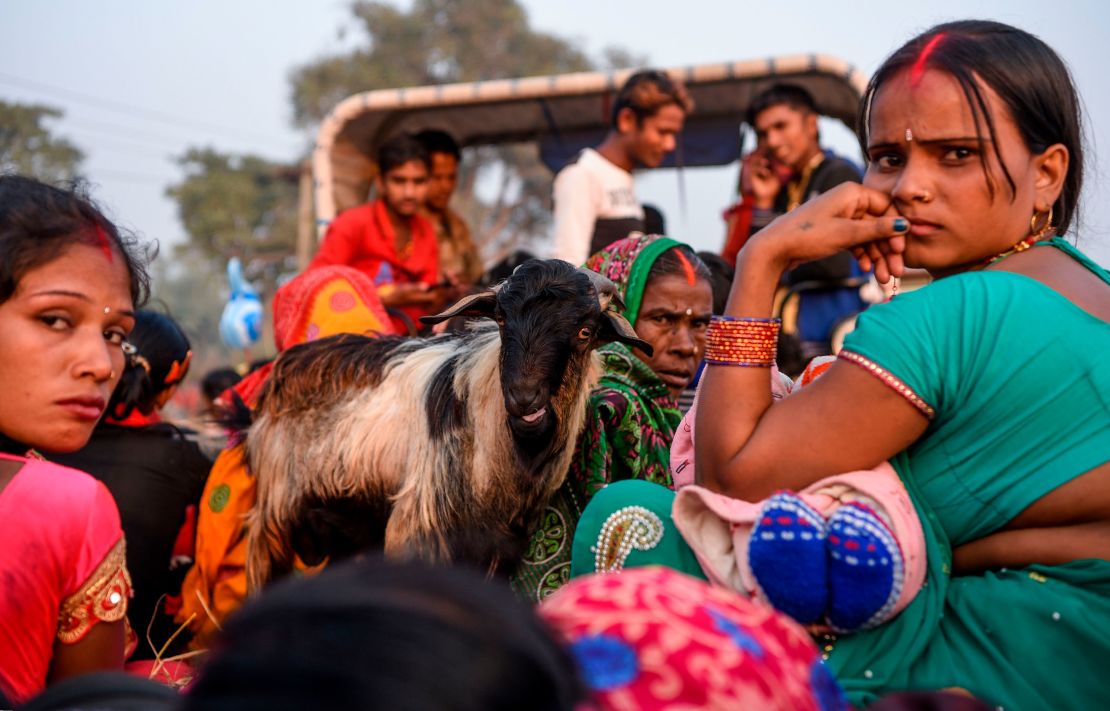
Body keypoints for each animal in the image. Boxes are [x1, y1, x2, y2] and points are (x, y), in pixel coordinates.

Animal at [243, 257, 648, 590]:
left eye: (584, 332)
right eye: (502, 319)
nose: (523, 397)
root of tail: (287, 363)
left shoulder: (501, 547)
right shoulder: (416, 528)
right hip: (274, 521)